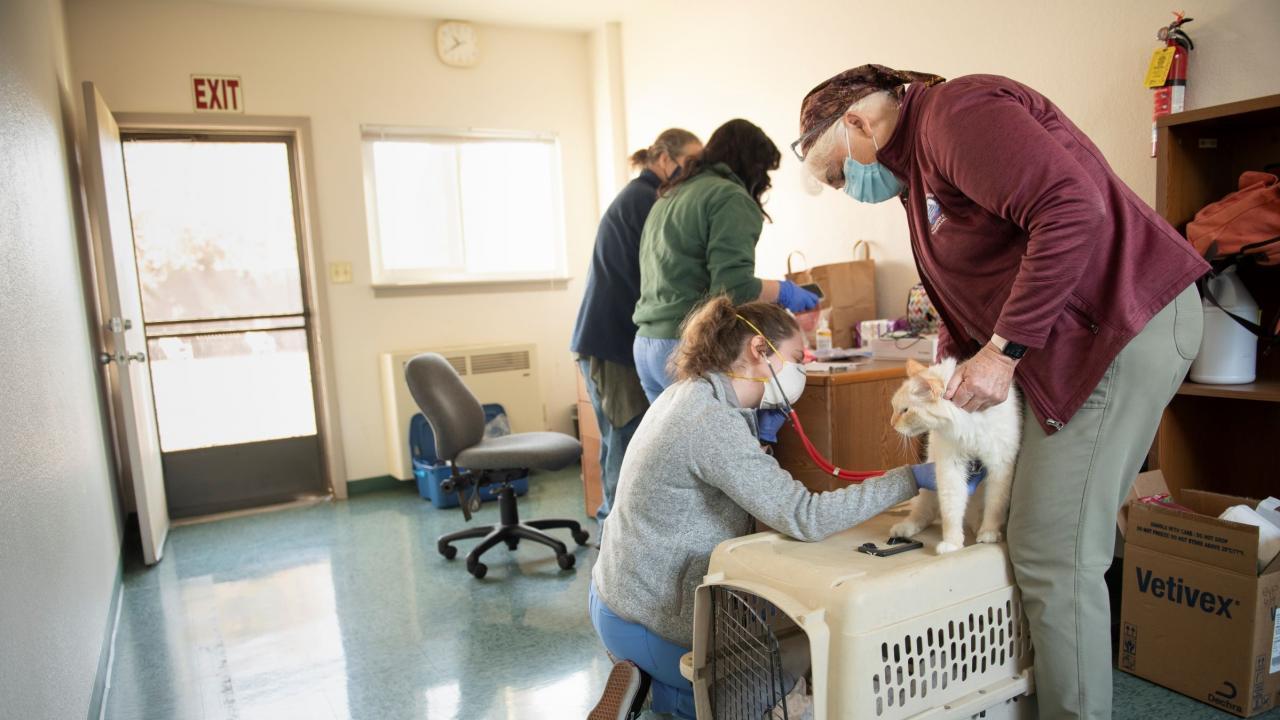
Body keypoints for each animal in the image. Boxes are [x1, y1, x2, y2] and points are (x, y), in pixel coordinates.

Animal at [890, 356, 1018, 550]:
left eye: (905, 411)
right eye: (895, 409)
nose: (892, 424)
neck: (969, 425)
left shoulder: (1000, 467)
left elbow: (994, 506)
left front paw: (988, 534)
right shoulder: (951, 467)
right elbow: (951, 511)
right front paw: (952, 544)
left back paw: (977, 527)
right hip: (928, 488)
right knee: (922, 514)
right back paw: (903, 529)